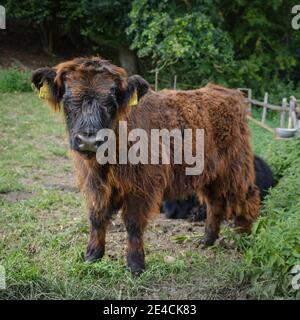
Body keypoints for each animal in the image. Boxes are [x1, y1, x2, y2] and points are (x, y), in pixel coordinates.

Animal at [31, 57, 258, 276]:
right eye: (68, 101)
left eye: (111, 102)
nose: (88, 140)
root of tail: (230, 92)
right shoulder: (94, 184)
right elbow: (96, 218)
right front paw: (92, 256)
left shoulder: (141, 186)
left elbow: (133, 223)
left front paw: (135, 265)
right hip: (210, 173)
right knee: (214, 202)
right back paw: (207, 240)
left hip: (236, 166)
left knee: (246, 196)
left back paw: (245, 240)